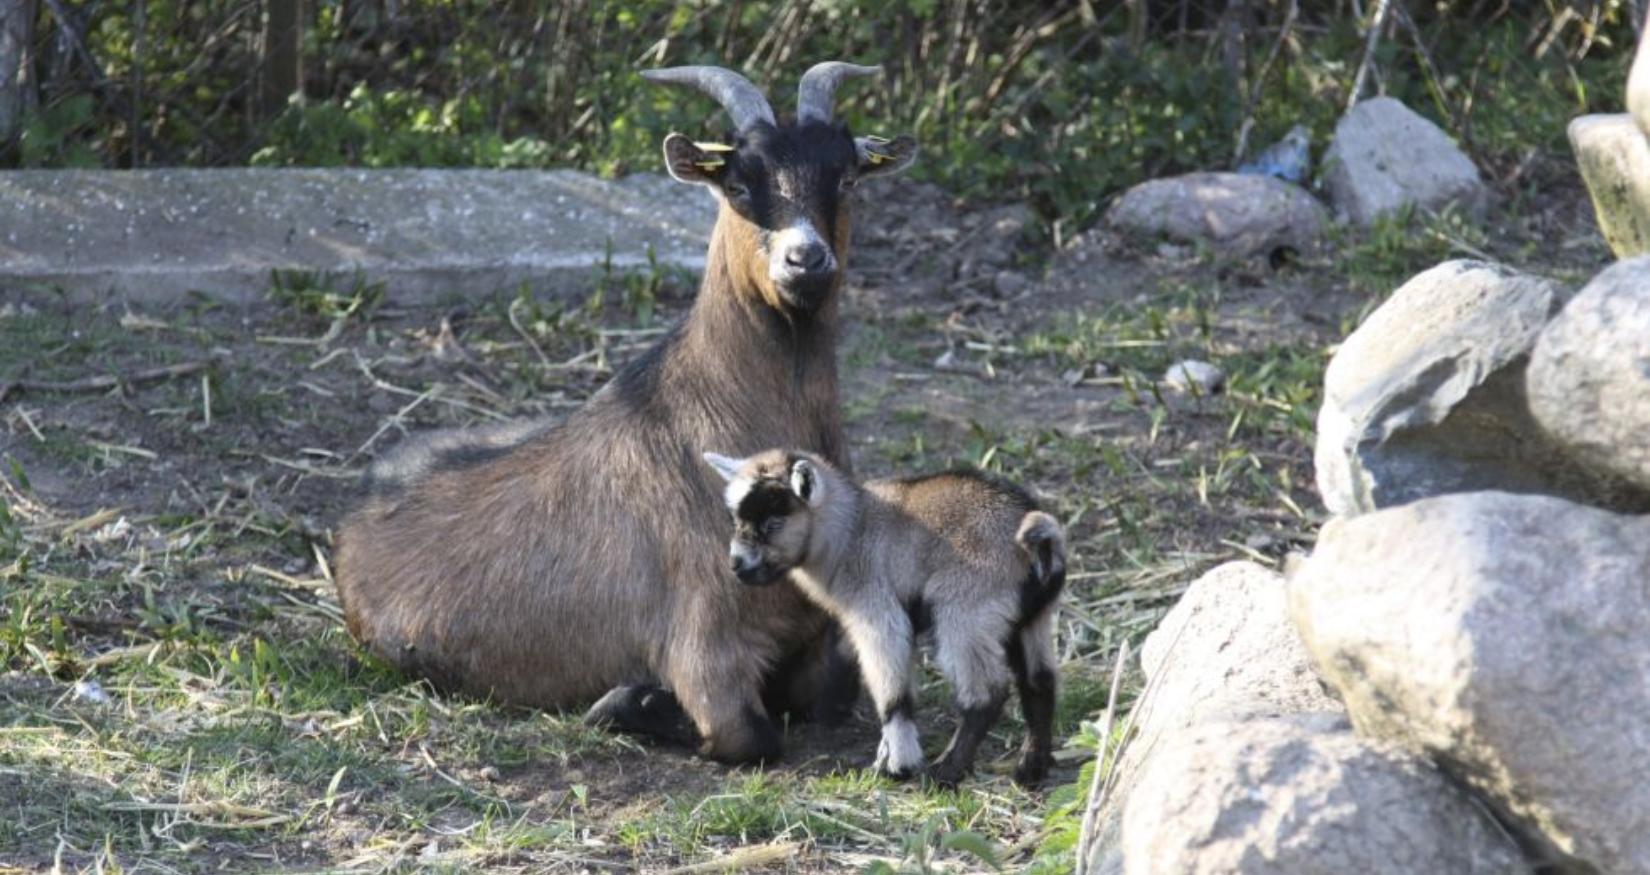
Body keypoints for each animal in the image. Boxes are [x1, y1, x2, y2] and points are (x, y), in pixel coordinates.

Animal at [333, 61, 917, 759]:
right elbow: (749, 737)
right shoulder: (706, 651)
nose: (805, 260)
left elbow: (835, 695)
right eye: (738, 184)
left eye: (846, 177)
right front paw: (626, 702)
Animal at [699, 449, 1062, 782]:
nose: (737, 565)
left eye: (773, 523)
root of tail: (1039, 544)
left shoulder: (876, 611)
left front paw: (897, 763)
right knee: (1039, 682)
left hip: (966, 611)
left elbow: (892, 692)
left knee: (986, 694)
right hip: (1031, 617)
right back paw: (1031, 766)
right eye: (738, 522)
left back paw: (946, 771)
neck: (849, 530)